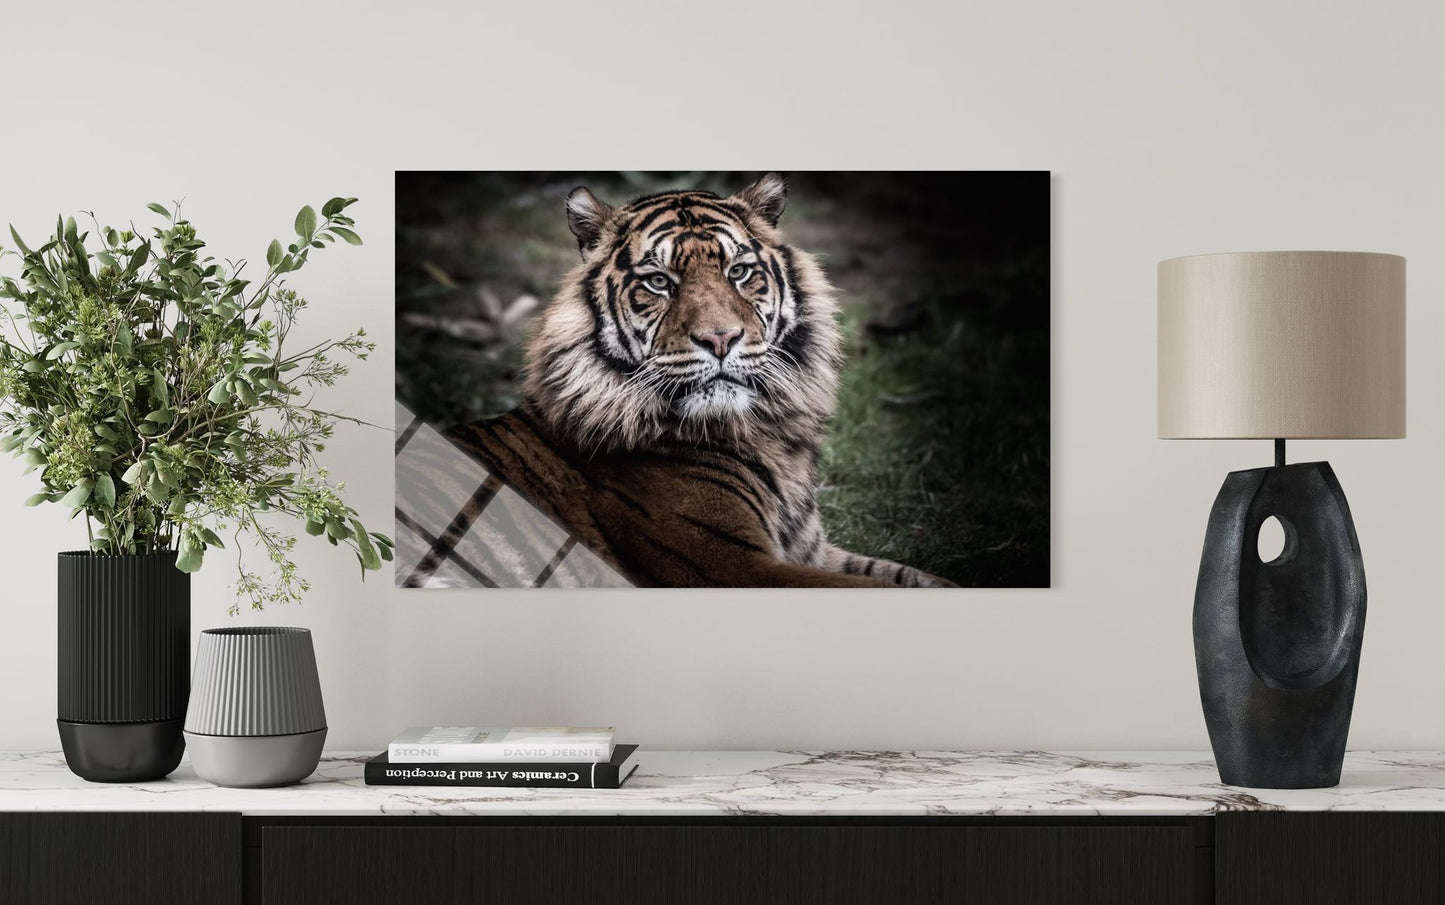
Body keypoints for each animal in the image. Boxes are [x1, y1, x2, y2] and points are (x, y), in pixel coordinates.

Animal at [443, 173, 954, 588]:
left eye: (739, 272)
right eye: (658, 282)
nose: (721, 338)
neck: (769, 436)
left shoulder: (811, 550)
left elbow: (916, 578)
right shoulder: (734, 567)